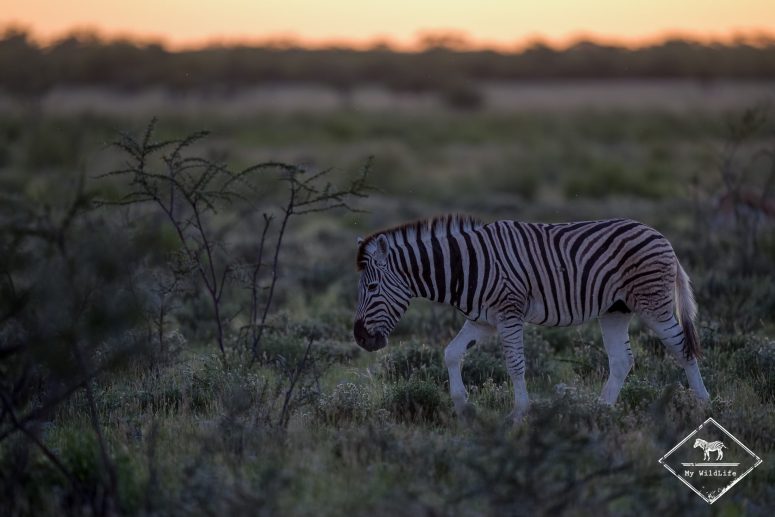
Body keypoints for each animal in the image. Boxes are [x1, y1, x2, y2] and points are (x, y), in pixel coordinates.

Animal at [353, 215, 710, 421]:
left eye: (371, 288)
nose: (360, 338)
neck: (465, 266)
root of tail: (661, 236)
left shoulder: (508, 313)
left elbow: (515, 364)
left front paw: (519, 413)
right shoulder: (483, 319)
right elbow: (451, 353)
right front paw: (463, 406)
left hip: (653, 303)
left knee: (683, 348)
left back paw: (704, 406)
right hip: (615, 310)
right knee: (622, 360)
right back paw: (600, 412)